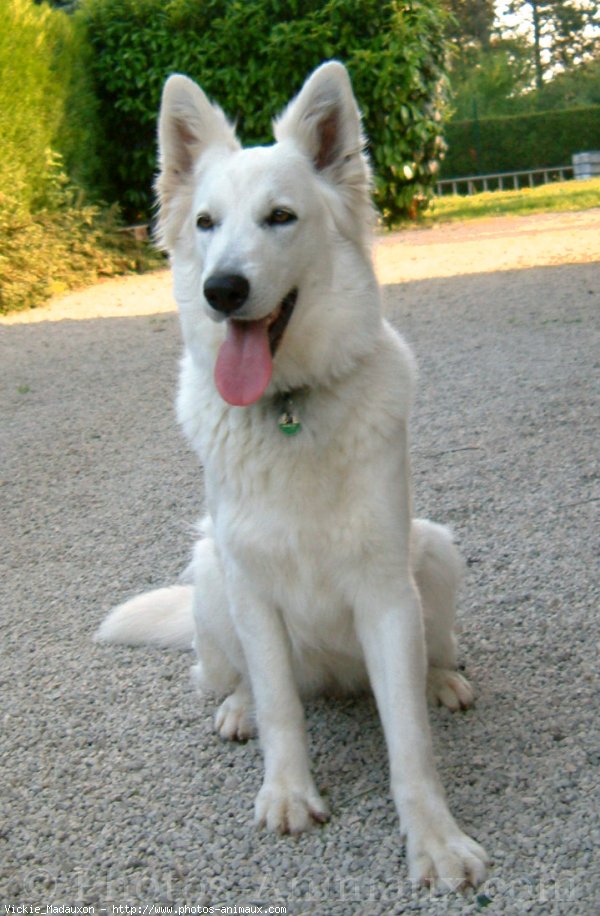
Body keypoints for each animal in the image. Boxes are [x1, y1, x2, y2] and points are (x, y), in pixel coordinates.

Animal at [97, 64, 488, 896]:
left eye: (280, 217)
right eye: (206, 223)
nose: (221, 290)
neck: (288, 407)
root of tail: (335, 680)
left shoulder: (386, 596)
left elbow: (410, 743)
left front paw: (434, 840)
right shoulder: (251, 585)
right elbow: (281, 707)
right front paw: (287, 793)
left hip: (434, 550)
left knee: (433, 652)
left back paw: (442, 679)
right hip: (210, 572)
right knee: (241, 679)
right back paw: (238, 706)